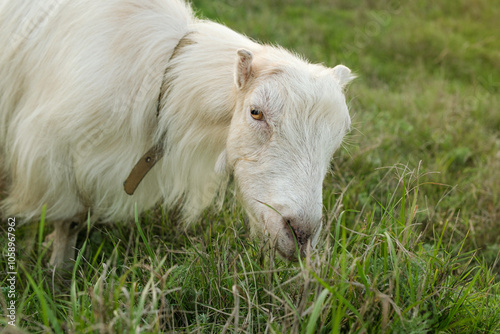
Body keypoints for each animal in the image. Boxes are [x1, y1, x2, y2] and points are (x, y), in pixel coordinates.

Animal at [0, 0, 354, 266]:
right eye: (256, 112)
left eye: (337, 139)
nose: (301, 234)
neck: (162, 77)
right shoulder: (52, 155)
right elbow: (69, 220)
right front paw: (58, 273)